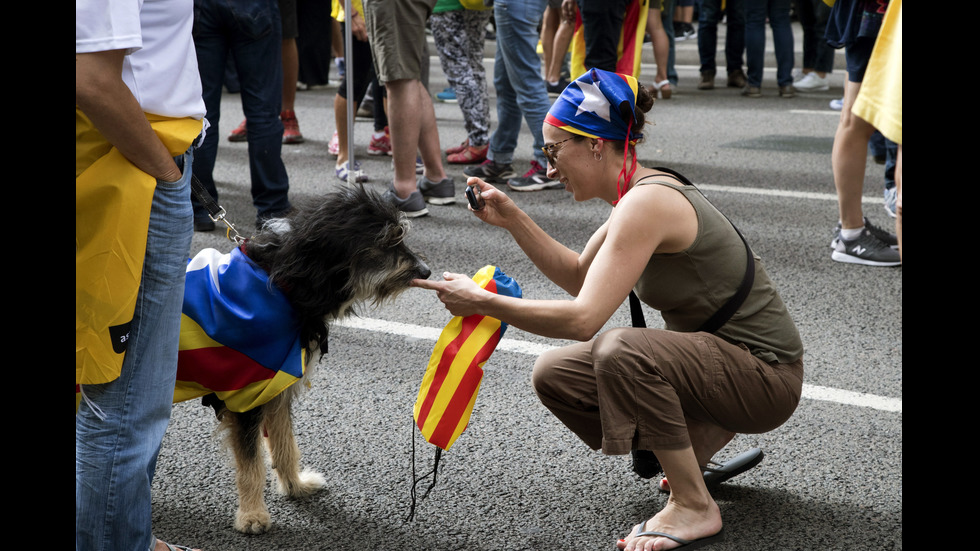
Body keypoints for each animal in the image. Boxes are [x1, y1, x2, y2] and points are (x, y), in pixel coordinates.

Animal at [178, 185, 430, 536]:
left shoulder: (275, 387)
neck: (285, 283)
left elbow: (285, 445)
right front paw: (252, 515)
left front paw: (294, 486)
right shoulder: (247, 393)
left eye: (400, 237)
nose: (426, 272)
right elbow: (251, 464)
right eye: (386, 242)